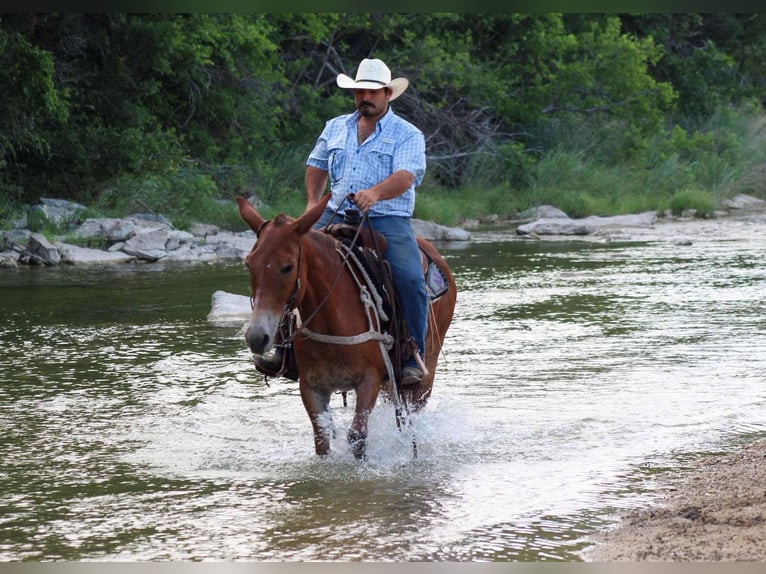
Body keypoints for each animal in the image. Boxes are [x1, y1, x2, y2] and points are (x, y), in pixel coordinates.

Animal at [236, 194, 456, 459]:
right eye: (248, 264)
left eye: (287, 266)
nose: (256, 337)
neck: (331, 319)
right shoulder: (311, 386)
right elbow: (322, 442)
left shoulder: (370, 378)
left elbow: (357, 437)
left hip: (425, 372)